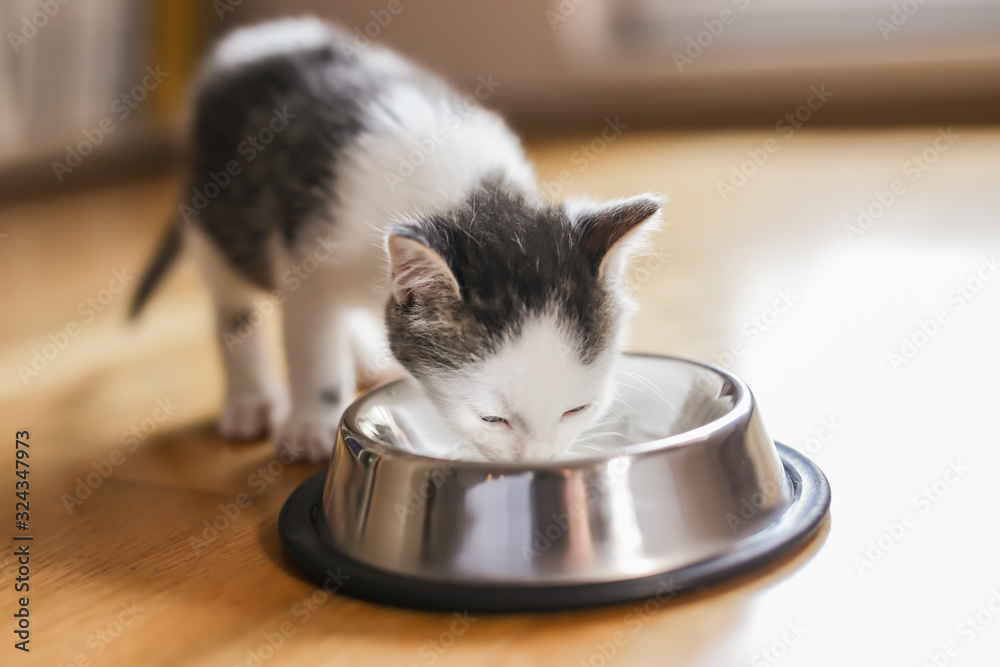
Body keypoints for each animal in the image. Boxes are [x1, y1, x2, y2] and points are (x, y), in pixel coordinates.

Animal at [133, 17, 664, 464]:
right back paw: (251, 398)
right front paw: (310, 425)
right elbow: (312, 343)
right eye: (491, 418)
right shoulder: (306, 254)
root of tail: (259, 35)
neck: (465, 194)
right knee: (232, 304)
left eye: (577, 409)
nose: (534, 464)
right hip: (217, 215)